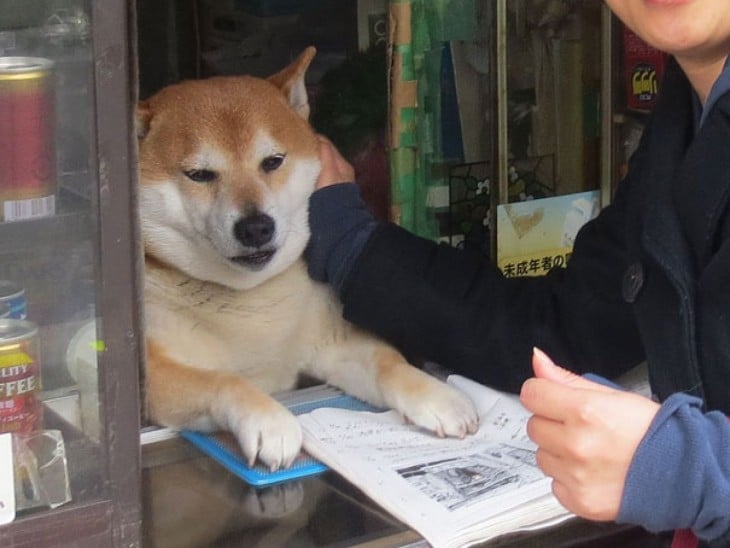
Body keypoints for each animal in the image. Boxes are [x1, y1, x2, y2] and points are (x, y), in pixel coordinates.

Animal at [136, 45, 478, 468]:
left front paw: (439, 397)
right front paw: (269, 420)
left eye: (272, 161)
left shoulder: (335, 343)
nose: (256, 228)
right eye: (199, 175)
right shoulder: (155, 375)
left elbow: (390, 364)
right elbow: (224, 380)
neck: (253, 304)